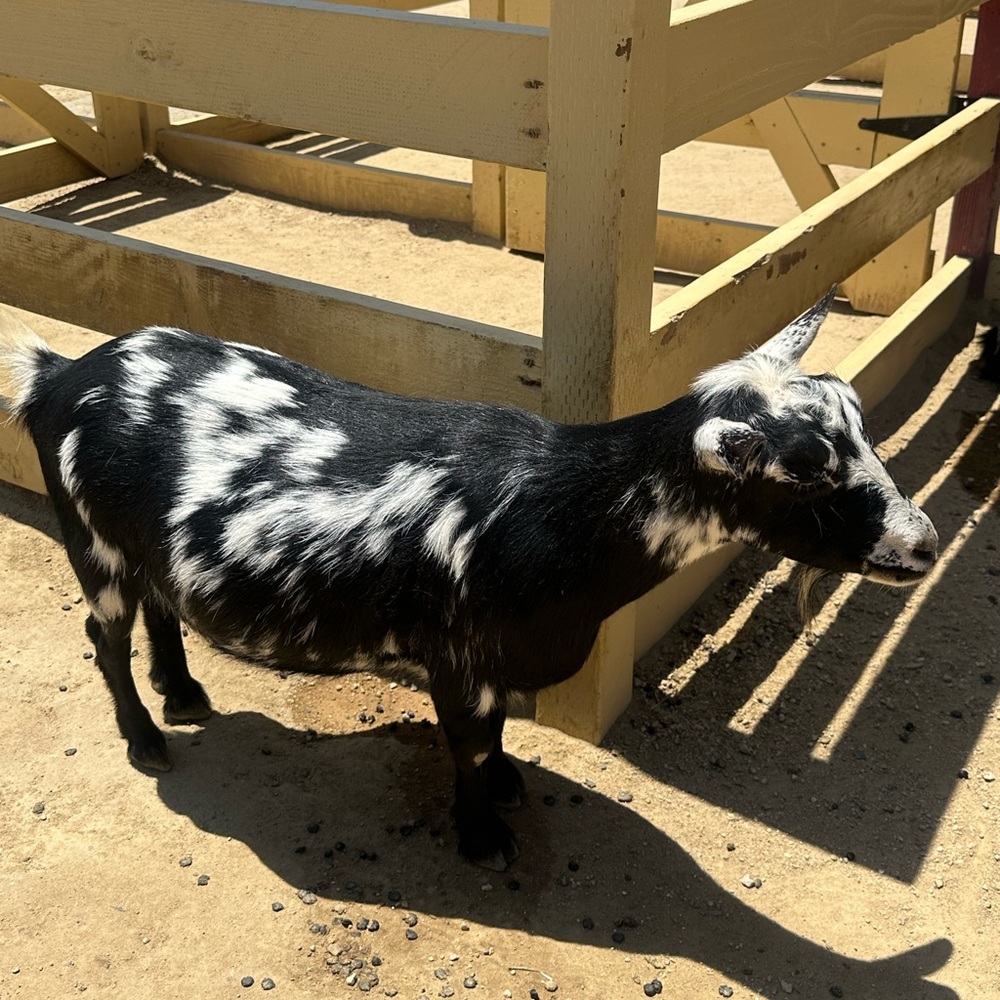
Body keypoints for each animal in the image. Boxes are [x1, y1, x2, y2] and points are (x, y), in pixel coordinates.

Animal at [0, 291, 937, 870]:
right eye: (804, 470)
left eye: (857, 421)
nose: (922, 544)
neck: (559, 506)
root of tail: (58, 376)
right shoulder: (456, 656)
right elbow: (469, 741)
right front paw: (484, 833)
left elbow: (499, 737)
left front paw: (509, 787)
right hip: (92, 547)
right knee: (104, 634)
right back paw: (146, 738)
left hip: (138, 547)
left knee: (160, 606)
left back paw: (185, 692)